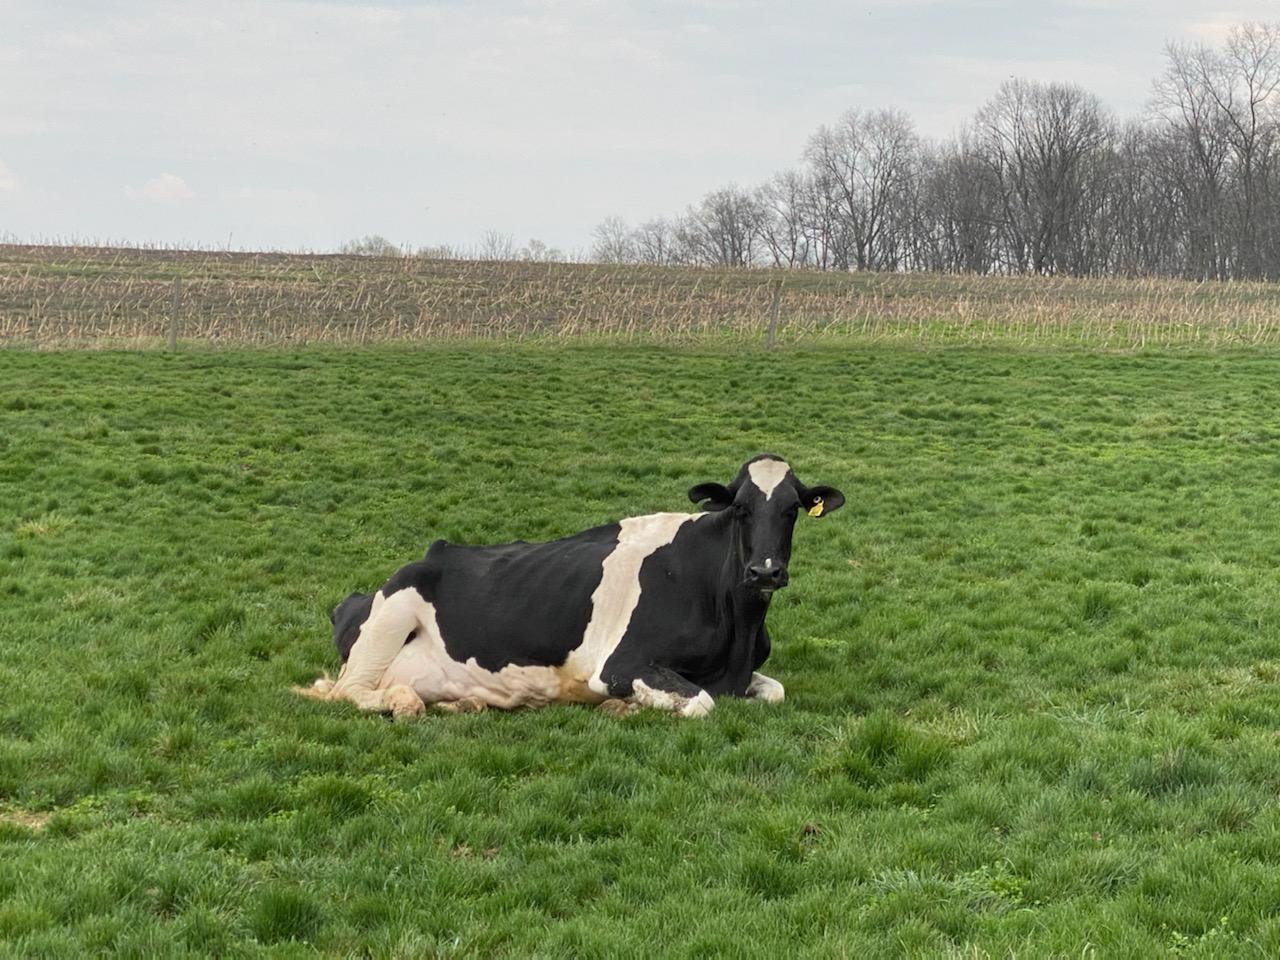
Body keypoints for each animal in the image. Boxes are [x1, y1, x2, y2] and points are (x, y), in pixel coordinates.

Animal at [294, 458, 844, 721]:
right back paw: (403, 702)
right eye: (739, 508)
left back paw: (462, 702)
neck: (737, 631)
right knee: (350, 692)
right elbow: (700, 703)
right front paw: (620, 707)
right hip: (393, 611)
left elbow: (775, 692)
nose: (765, 572)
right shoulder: (622, 664)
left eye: (792, 509)